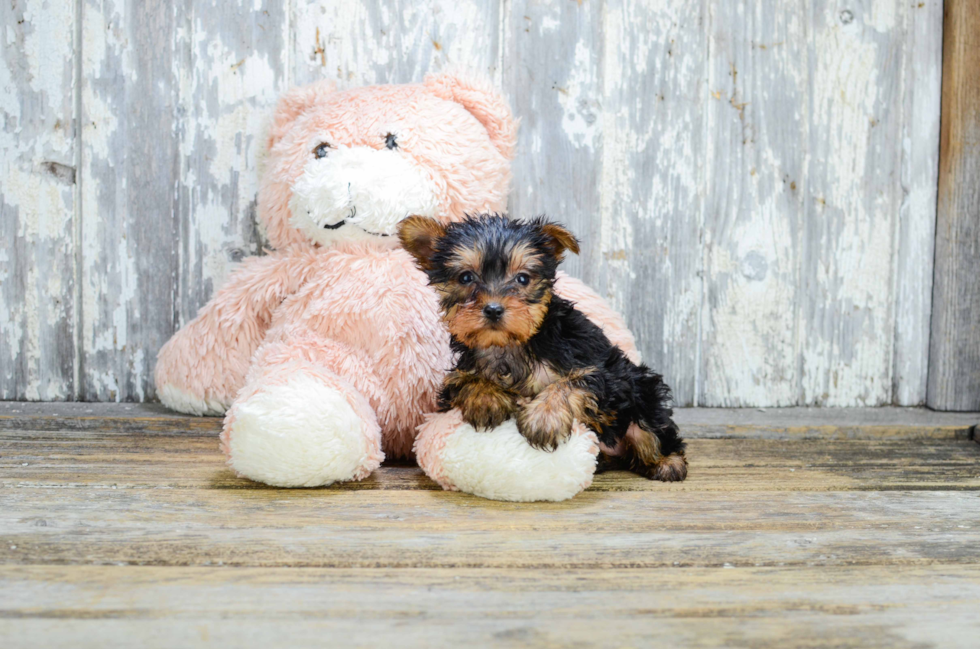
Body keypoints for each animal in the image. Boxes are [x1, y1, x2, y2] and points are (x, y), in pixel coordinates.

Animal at [398, 214, 688, 480]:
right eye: (466, 278)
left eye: (523, 279)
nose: (493, 309)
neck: (509, 345)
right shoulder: (463, 369)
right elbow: (463, 379)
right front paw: (486, 398)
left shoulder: (603, 373)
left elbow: (570, 383)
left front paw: (543, 419)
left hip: (642, 392)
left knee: (651, 429)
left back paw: (667, 462)